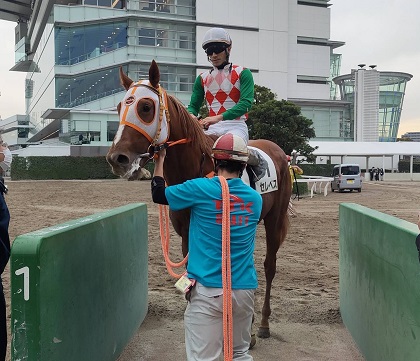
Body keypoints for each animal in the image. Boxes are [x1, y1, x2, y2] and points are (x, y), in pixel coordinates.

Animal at [106, 60, 290, 338]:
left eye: (145, 107)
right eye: (119, 108)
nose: (117, 158)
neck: (195, 168)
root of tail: (278, 150)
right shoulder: (185, 231)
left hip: (274, 220)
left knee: (269, 266)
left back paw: (263, 324)